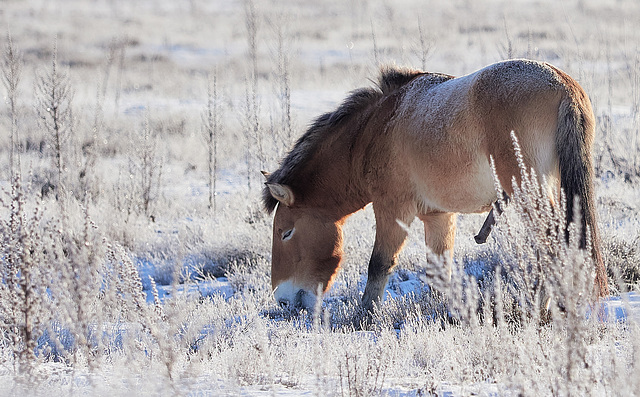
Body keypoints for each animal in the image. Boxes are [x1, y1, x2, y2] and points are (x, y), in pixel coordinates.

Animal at [262, 59, 608, 312]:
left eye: (286, 232)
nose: (283, 299)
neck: (373, 130)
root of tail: (564, 86)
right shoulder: (439, 217)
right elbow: (439, 270)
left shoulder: (392, 209)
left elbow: (379, 264)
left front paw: (364, 316)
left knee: (552, 245)